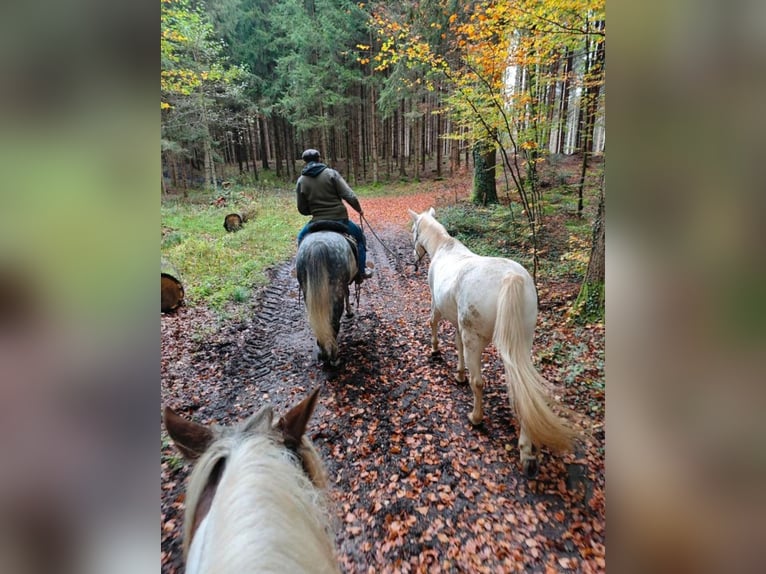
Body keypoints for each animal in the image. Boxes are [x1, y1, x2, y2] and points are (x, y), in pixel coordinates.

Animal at [408, 207, 576, 476]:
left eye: (413, 231)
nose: (414, 259)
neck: (444, 248)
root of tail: (512, 278)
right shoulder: (459, 326)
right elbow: (457, 345)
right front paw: (459, 373)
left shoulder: (438, 307)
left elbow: (433, 324)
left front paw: (435, 351)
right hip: (521, 342)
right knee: (520, 387)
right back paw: (527, 451)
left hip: (477, 338)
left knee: (479, 382)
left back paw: (476, 418)